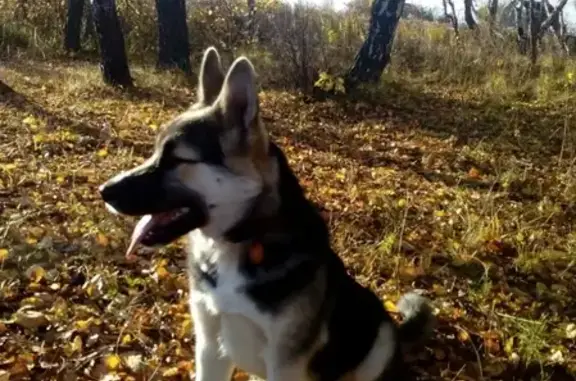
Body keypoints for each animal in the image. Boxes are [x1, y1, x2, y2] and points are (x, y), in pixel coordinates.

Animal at [99, 47, 432, 380]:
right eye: (155, 152)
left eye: (177, 159)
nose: (104, 191)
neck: (241, 239)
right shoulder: (209, 348)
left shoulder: (284, 364)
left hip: (380, 339)